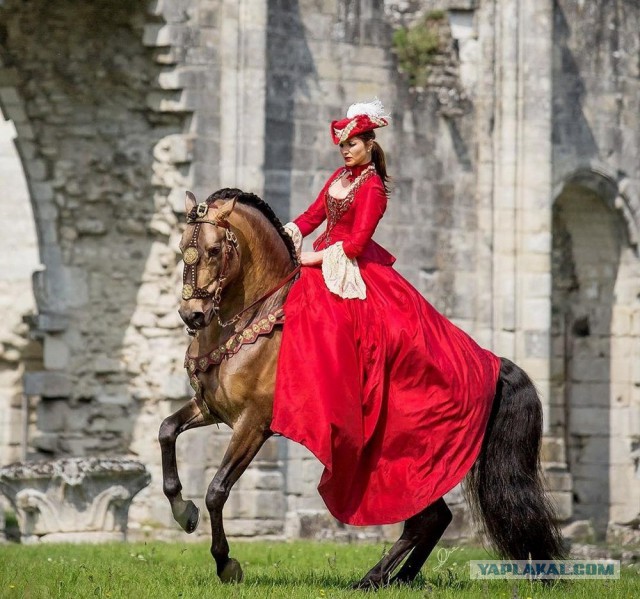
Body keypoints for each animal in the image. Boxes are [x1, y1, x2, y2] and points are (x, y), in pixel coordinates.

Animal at [159, 189, 564, 592]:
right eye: (181, 246)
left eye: (214, 250)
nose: (191, 315)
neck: (256, 319)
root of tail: (493, 364)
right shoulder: (211, 408)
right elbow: (167, 430)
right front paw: (183, 511)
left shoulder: (253, 424)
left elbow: (217, 490)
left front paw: (226, 563)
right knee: (435, 518)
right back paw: (397, 579)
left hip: (406, 458)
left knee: (427, 518)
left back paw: (375, 578)